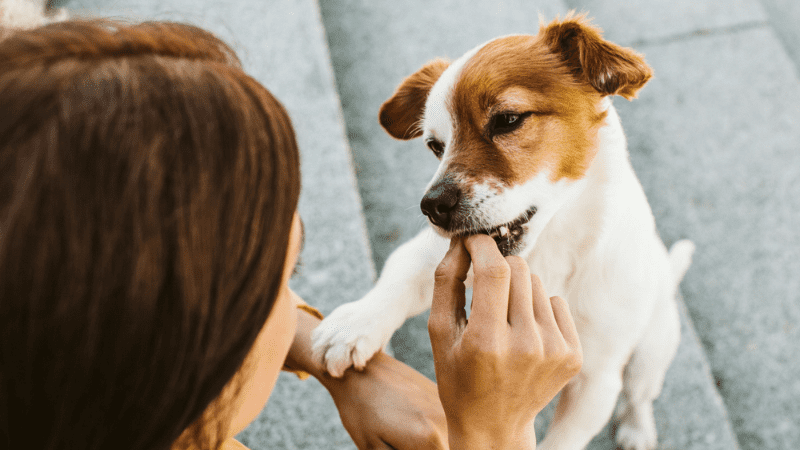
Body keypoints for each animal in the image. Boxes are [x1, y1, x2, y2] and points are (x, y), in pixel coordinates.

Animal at [312, 14, 692, 450]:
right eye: (435, 146)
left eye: (508, 120)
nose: (432, 205)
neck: (547, 248)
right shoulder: (432, 255)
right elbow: (401, 274)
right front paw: (353, 325)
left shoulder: (596, 383)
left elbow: (564, 439)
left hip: (651, 349)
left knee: (640, 393)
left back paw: (637, 428)